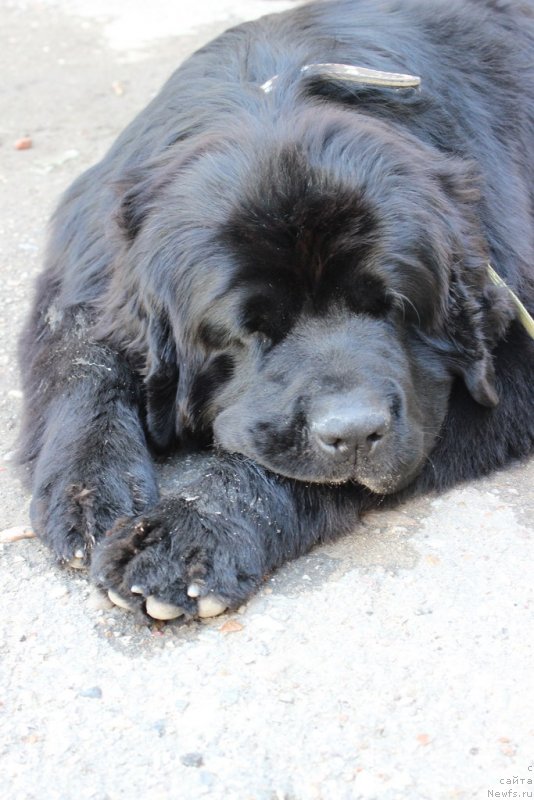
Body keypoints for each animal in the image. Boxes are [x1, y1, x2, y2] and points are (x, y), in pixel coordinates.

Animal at [17, 0, 534, 620]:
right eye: (250, 330)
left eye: (396, 309)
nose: (354, 432)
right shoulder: (85, 263)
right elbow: (80, 358)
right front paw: (88, 487)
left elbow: (272, 467)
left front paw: (189, 534)